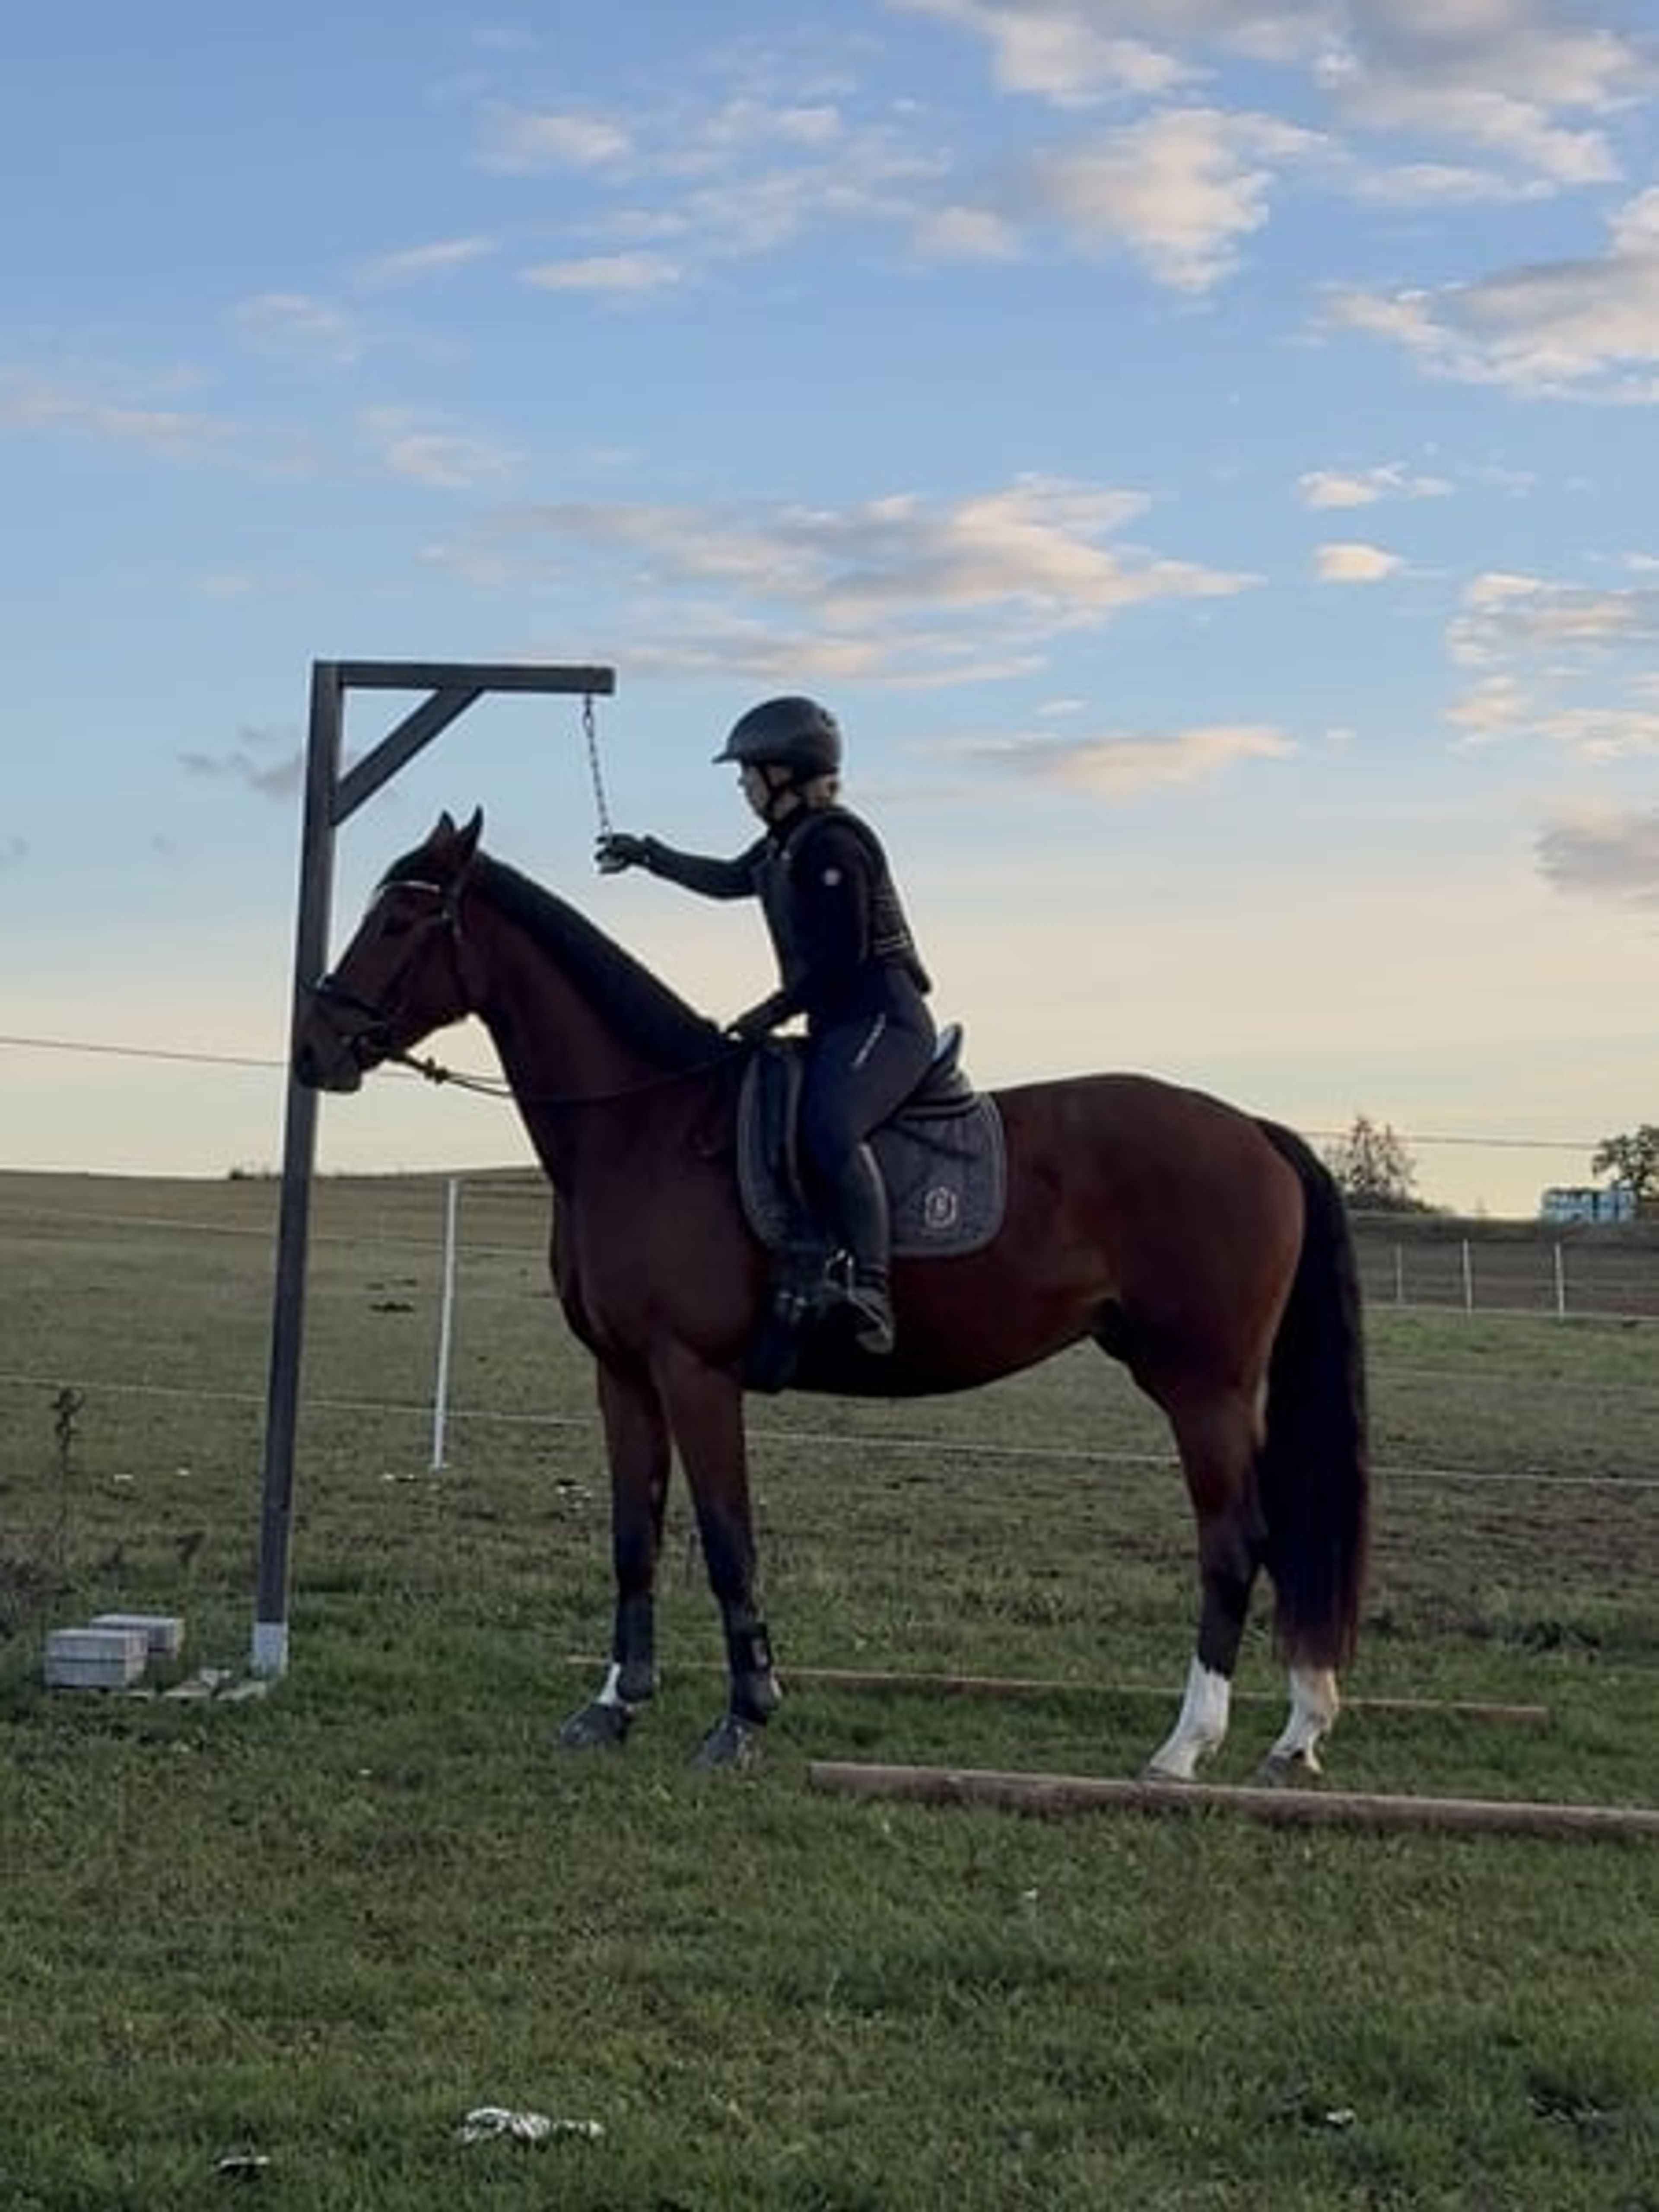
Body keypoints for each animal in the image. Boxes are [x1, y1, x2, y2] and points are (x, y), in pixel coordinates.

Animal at [293, 809, 1368, 1778]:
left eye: (400, 919)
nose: (316, 1048)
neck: (644, 1125)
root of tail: (1254, 1130)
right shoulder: (624, 1376)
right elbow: (634, 1538)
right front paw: (614, 1705)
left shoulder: (695, 1374)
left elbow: (728, 1544)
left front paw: (743, 1718)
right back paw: (1295, 1732)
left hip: (1200, 1385)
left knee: (1235, 1542)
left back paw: (1187, 1743)